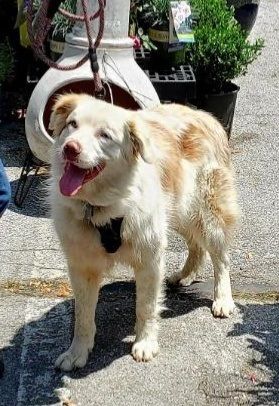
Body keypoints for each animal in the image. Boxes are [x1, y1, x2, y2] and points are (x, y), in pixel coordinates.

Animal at [49, 94, 240, 372]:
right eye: (72, 124)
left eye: (104, 135)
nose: (70, 148)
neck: (101, 207)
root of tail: (205, 115)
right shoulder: (81, 266)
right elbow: (83, 315)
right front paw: (77, 351)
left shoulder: (150, 259)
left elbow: (146, 307)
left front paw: (145, 343)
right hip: (179, 212)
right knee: (196, 246)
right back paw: (184, 276)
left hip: (208, 212)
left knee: (221, 258)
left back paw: (223, 298)